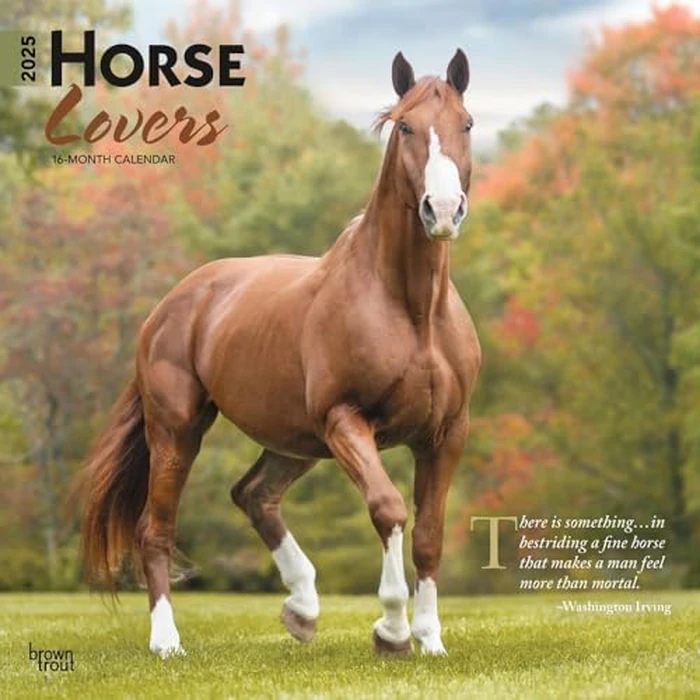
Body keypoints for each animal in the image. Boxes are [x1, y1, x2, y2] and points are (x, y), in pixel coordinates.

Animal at [78, 48, 481, 658]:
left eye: (468, 124)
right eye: (405, 126)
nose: (442, 210)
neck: (410, 311)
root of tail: (170, 306)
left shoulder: (445, 432)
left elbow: (429, 534)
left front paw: (430, 639)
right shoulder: (346, 420)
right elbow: (387, 508)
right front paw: (390, 630)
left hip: (295, 438)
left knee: (254, 494)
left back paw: (303, 608)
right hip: (179, 431)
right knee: (157, 529)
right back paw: (167, 641)